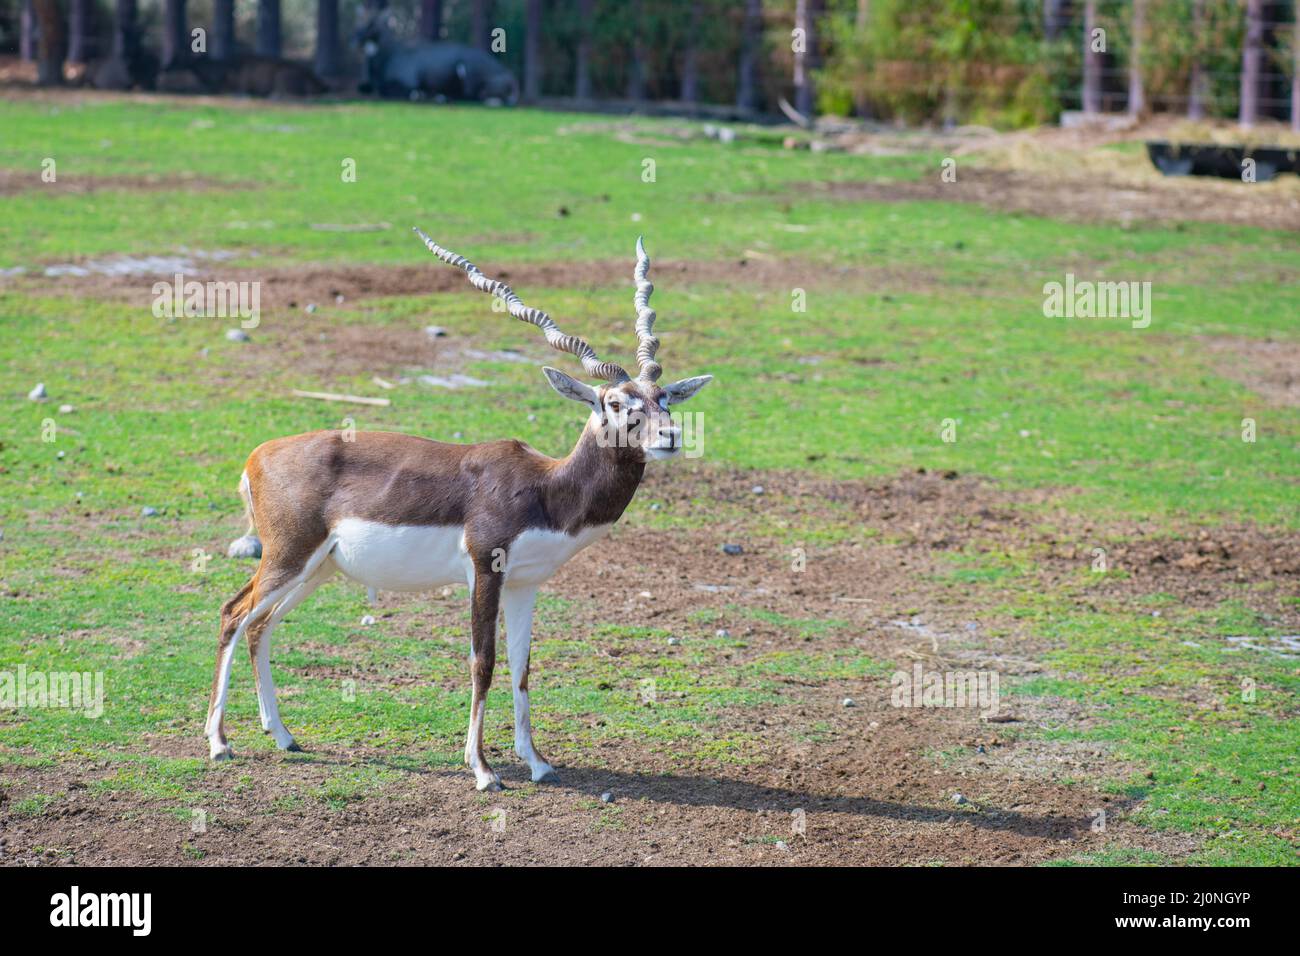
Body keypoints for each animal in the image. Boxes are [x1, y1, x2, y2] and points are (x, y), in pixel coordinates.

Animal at [208, 227, 712, 790]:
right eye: (616, 403)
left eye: (664, 397)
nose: (670, 437)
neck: (545, 487)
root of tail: (258, 455)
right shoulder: (484, 569)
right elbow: (483, 663)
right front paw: (483, 769)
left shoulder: (525, 584)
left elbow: (522, 668)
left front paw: (537, 763)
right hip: (288, 556)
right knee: (233, 615)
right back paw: (219, 743)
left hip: (318, 569)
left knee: (260, 626)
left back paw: (283, 736)